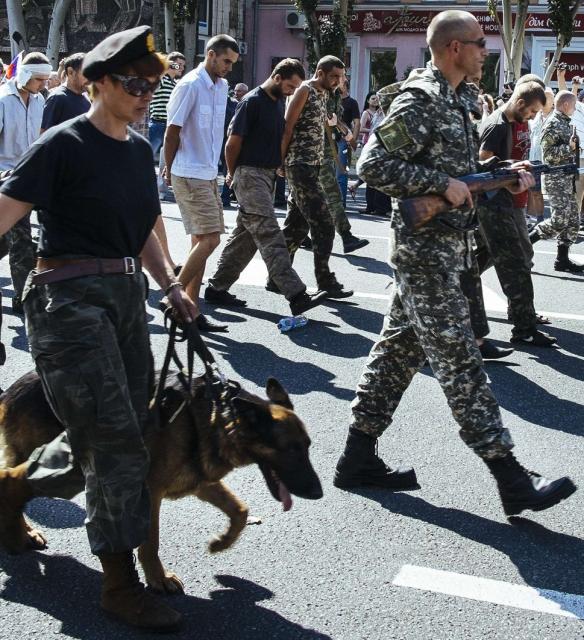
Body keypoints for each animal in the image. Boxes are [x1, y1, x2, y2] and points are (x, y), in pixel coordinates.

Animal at [0, 370, 323, 593]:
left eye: (308, 446)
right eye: (291, 450)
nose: (319, 493)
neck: (219, 416)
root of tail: (12, 390)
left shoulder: (200, 482)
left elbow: (240, 511)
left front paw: (221, 543)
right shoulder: (150, 491)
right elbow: (151, 541)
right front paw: (158, 578)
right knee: (13, 479)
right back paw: (19, 531)